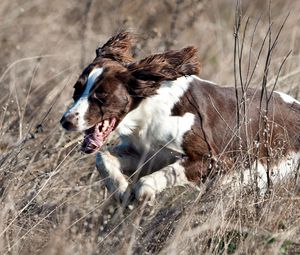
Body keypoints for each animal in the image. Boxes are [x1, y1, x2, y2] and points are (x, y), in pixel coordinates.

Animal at [60, 31, 300, 203]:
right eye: (76, 89)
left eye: (101, 95)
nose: (66, 121)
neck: (149, 114)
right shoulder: (147, 155)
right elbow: (103, 157)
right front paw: (121, 190)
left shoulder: (215, 160)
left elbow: (159, 176)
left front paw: (144, 195)